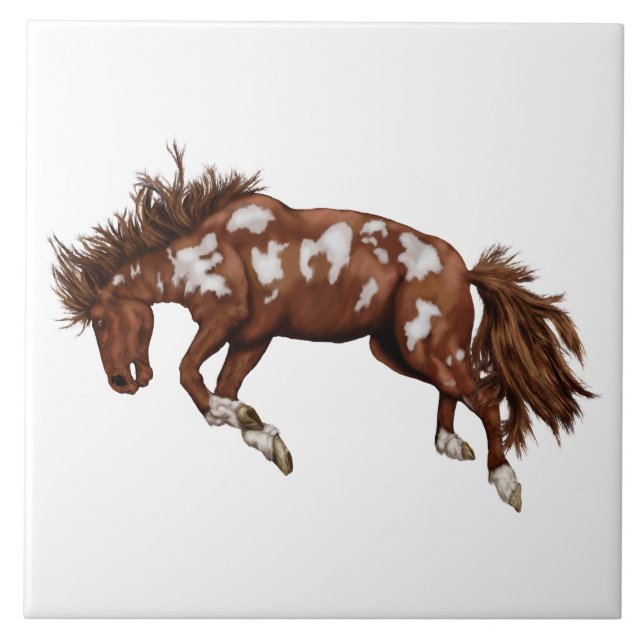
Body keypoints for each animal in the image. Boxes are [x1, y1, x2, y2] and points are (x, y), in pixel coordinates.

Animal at [51, 144, 594, 512]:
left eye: (100, 320)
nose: (120, 381)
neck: (204, 253)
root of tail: (465, 271)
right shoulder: (250, 339)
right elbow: (224, 387)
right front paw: (263, 434)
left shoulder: (232, 324)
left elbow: (190, 374)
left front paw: (236, 417)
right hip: (397, 350)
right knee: (455, 390)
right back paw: (449, 443)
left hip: (423, 347)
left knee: (482, 394)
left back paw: (505, 481)